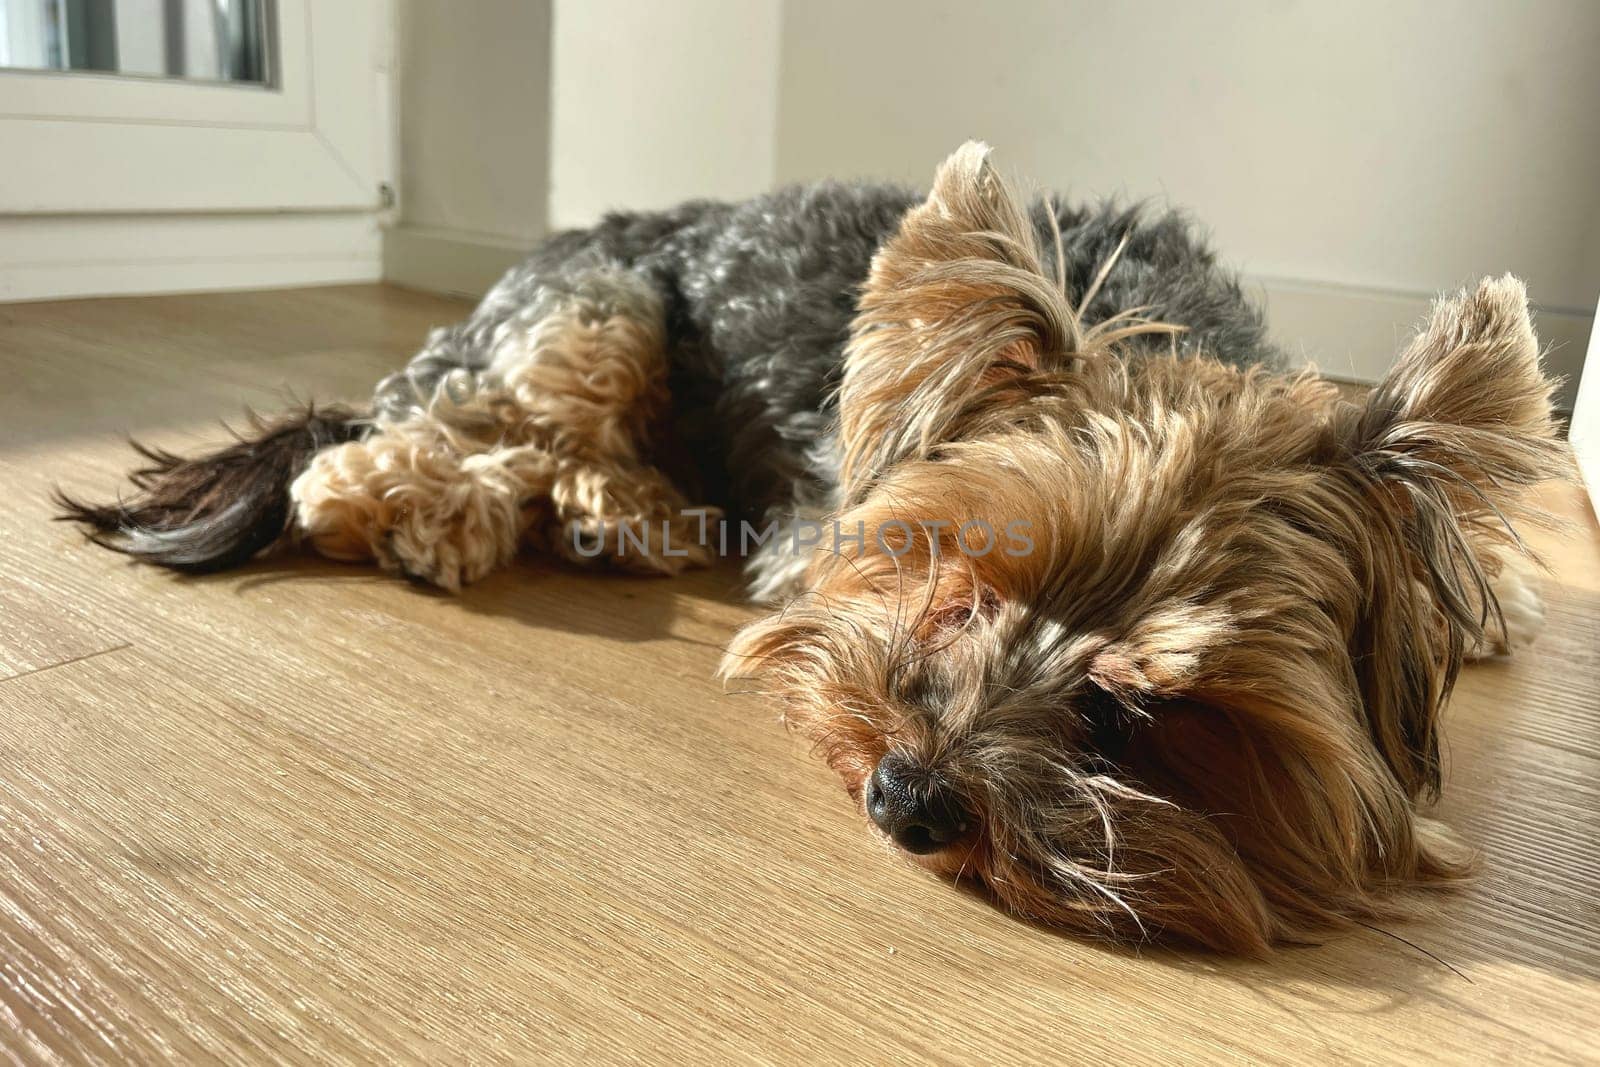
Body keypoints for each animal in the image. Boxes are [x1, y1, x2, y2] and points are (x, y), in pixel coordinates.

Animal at [59, 141, 1561, 953]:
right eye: (953, 582)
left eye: (1134, 711)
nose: (909, 796)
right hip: (597, 310)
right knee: (406, 445)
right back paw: (454, 504)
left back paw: (620, 509)